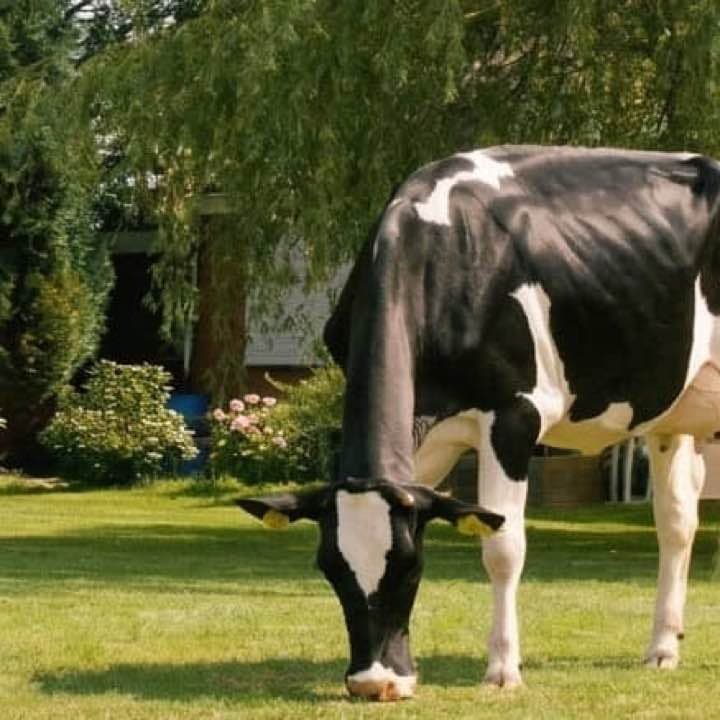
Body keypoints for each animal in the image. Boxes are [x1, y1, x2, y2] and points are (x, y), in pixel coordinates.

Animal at [238, 145, 720, 701]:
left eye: (410, 567)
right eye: (329, 568)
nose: (373, 684)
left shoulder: (514, 415)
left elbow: (503, 548)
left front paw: (503, 669)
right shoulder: (421, 442)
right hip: (672, 412)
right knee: (677, 520)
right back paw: (663, 648)